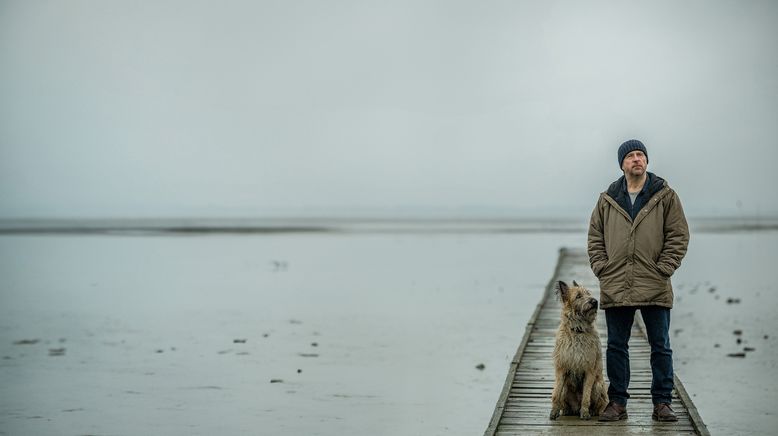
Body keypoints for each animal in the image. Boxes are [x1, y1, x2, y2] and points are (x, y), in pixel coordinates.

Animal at [548, 282, 608, 420]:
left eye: (588, 293)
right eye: (578, 296)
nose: (595, 301)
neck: (578, 330)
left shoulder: (590, 369)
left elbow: (586, 395)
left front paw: (585, 412)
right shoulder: (561, 368)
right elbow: (556, 393)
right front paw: (554, 411)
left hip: (598, 385)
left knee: (599, 403)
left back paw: (593, 411)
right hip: (566, 387)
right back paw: (566, 410)